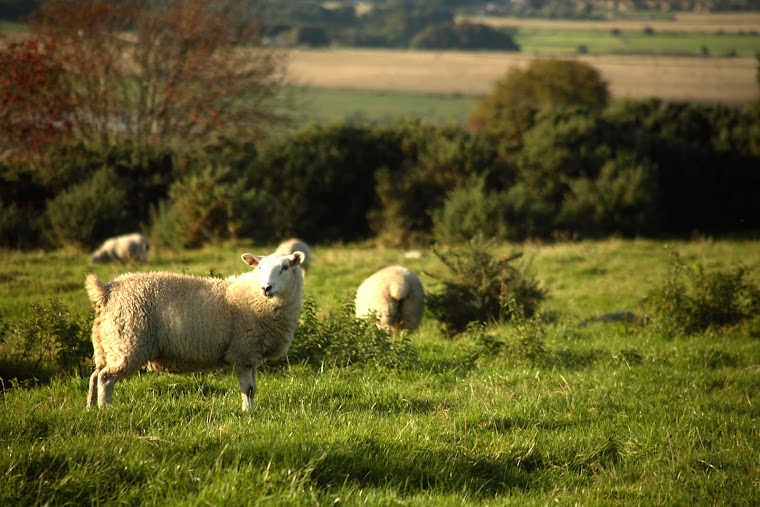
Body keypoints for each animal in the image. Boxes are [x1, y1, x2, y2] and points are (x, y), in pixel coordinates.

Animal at [84, 250, 304, 412]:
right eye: (259, 267)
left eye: (285, 267)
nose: (266, 288)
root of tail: (107, 291)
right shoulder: (242, 352)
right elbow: (248, 389)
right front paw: (247, 413)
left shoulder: (251, 354)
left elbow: (254, 389)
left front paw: (251, 410)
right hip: (128, 342)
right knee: (105, 378)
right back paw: (106, 410)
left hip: (107, 343)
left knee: (94, 376)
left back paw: (90, 408)